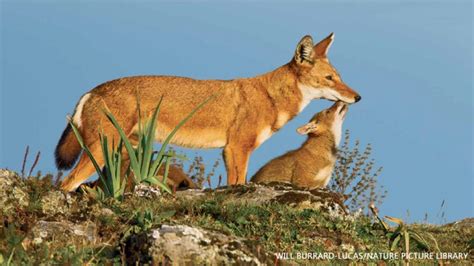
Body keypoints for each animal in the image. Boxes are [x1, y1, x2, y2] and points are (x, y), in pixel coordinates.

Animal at [55, 33, 362, 191]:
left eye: (339, 77)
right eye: (330, 79)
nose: (357, 97)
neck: (270, 97)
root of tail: (92, 90)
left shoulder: (231, 151)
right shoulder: (237, 149)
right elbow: (237, 183)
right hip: (100, 152)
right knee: (66, 183)